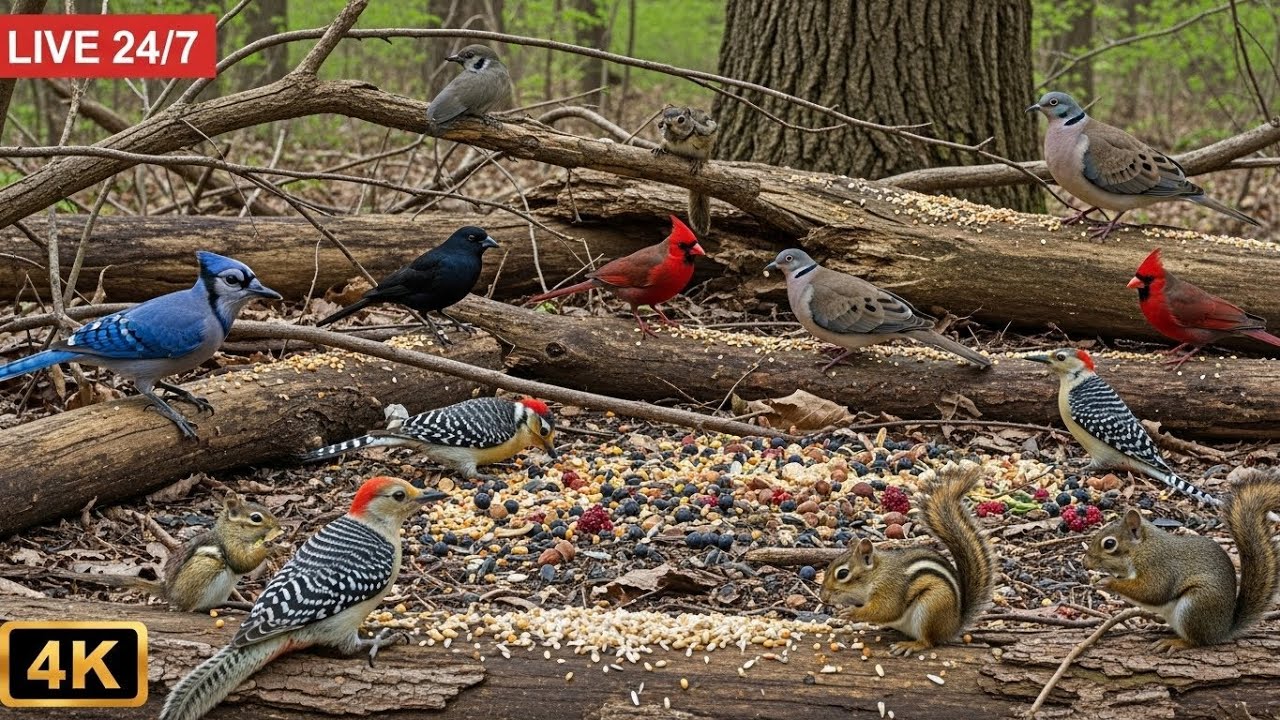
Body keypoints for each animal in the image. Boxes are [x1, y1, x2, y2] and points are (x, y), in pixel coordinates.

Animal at [58, 494, 281, 612]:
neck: (231, 531)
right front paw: (271, 545)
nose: (278, 526)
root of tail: (169, 593)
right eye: (256, 518)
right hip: (207, 569)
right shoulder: (231, 546)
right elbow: (242, 562)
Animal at [653, 106, 717, 238]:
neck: (678, 137)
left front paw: (697, 161)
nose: (665, 124)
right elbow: (664, 142)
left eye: (681, 119)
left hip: (706, 153)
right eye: (663, 118)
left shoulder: (707, 131)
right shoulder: (667, 139)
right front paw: (660, 147)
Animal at [819, 465, 995, 655]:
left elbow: (886, 610)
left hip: (930, 607)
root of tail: (953, 626)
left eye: (843, 573)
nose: (823, 597)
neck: (876, 574)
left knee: (928, 641)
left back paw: (910, 645)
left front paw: (851, 613)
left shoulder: (890, 589)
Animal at [1084, 470, 1280, 652]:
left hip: (1195, 605)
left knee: (1198, 641)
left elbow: (1152, 591)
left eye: (1109, 544)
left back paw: (1176, 642)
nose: (1085, 563)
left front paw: (1108, 582)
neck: (1141, 549)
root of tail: (1222, 630)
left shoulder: (1159, 566)